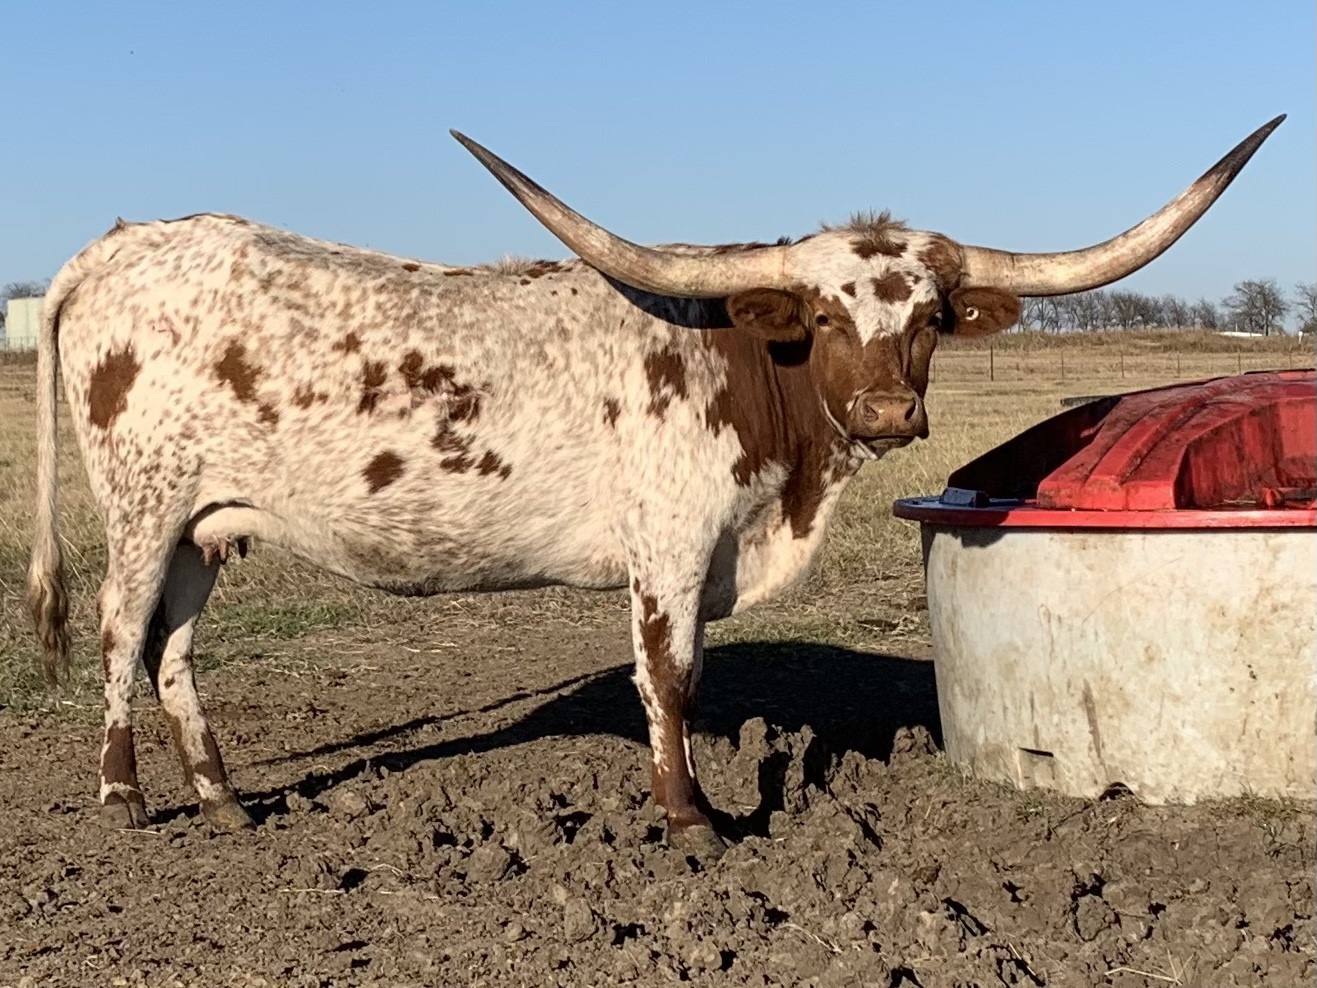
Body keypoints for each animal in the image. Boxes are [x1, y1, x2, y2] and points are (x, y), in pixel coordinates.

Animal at [28, 115, 1281, 858]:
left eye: (929, 317)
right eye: (827, 315)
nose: (890, 413)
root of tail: (116, 245)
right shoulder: (671, 544)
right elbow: (667, 678)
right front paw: (691, 818)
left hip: (203, 527)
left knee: (173, 651)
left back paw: (221, 796)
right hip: (142, 509)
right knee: (118, 635)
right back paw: (123, 797)